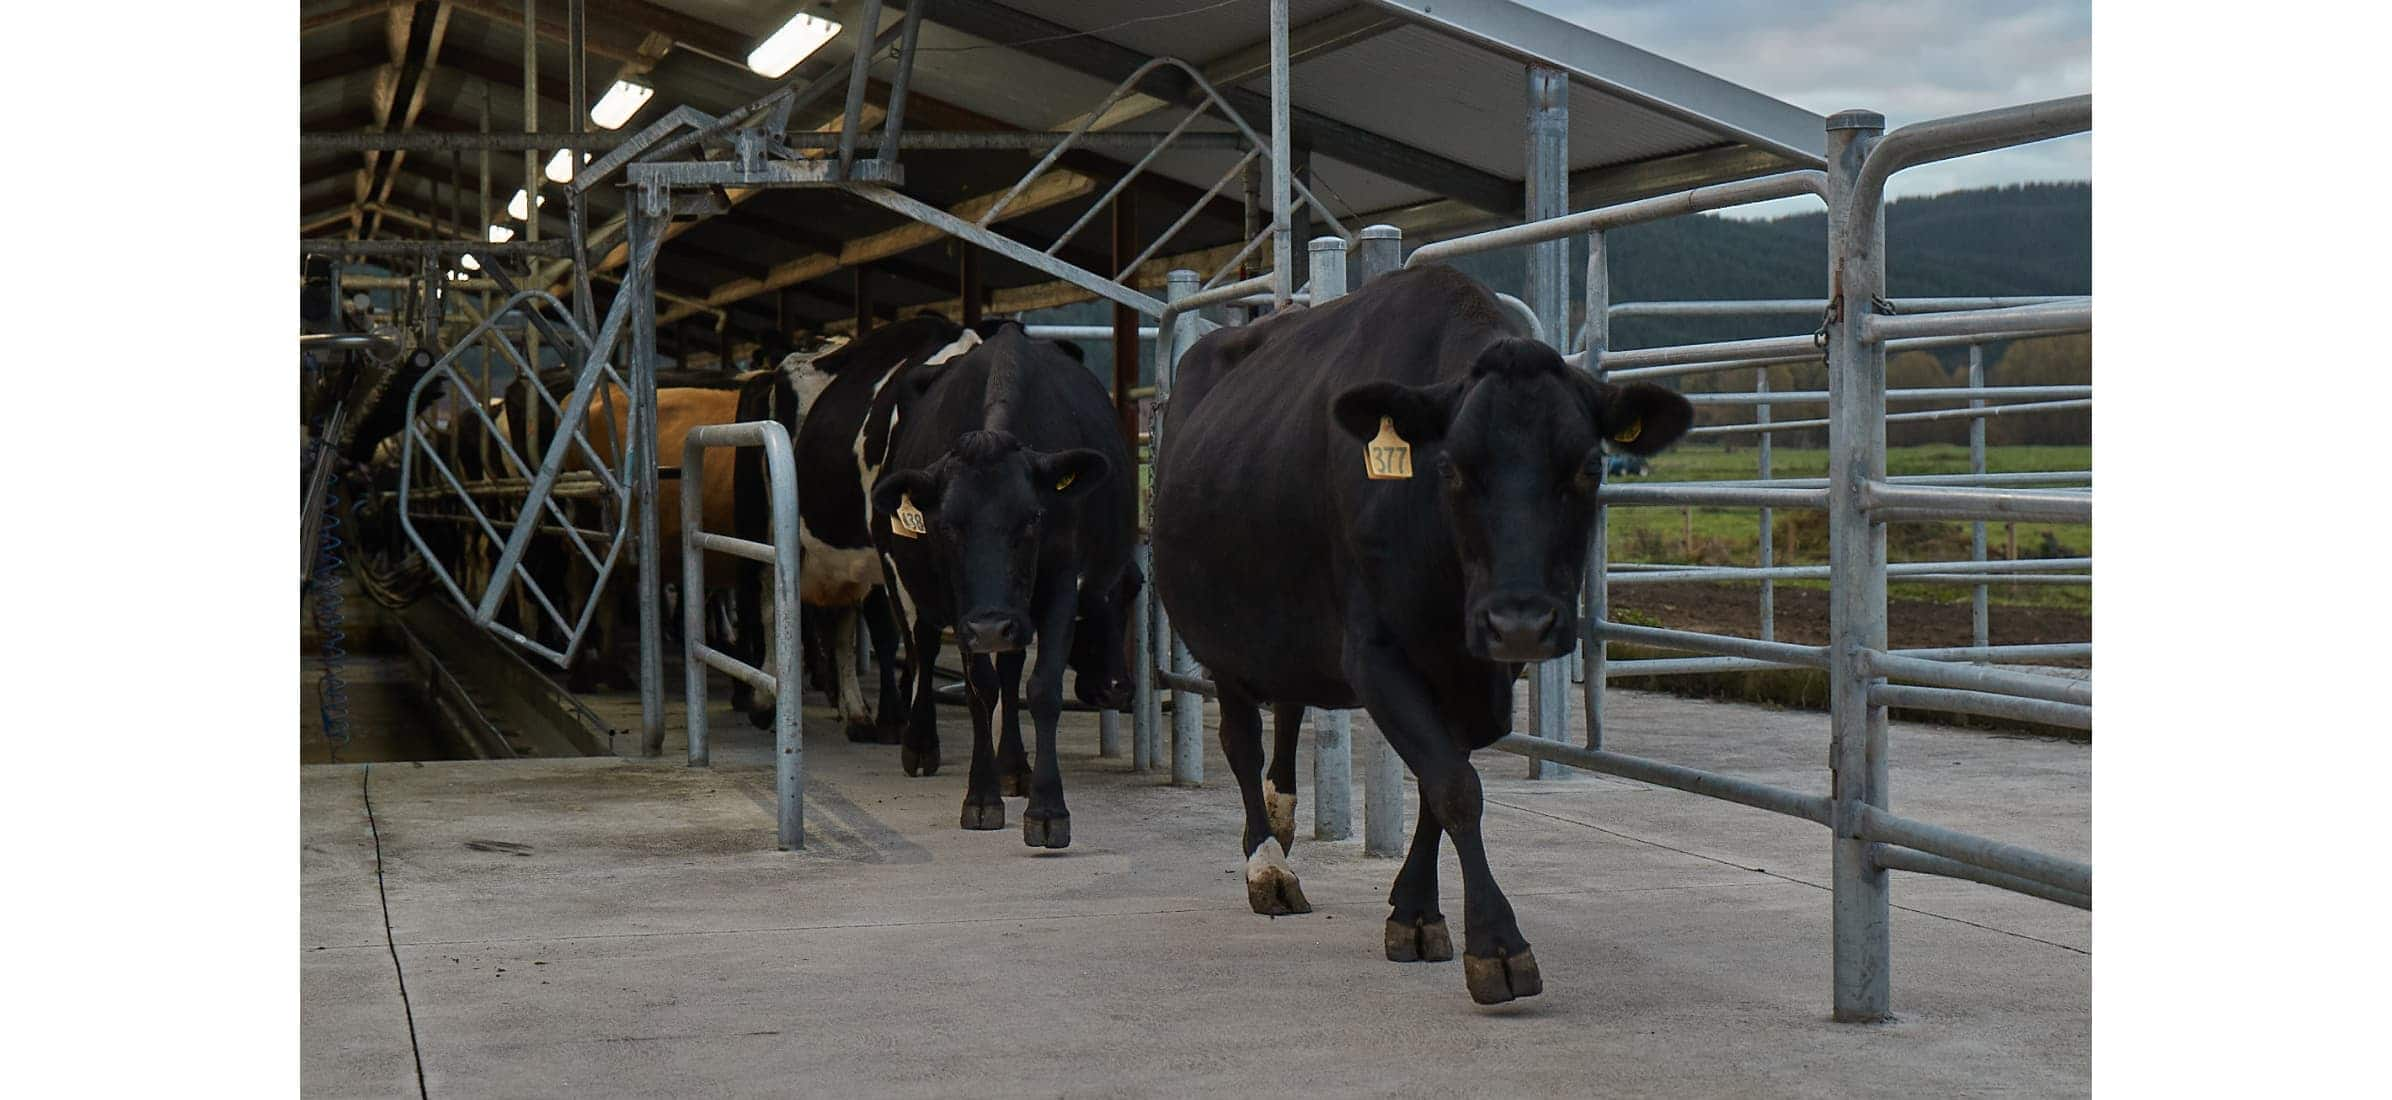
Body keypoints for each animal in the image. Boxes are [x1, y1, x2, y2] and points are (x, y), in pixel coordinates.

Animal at [875, 320, 1133, 851]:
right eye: (945, 525)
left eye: (1034, 517)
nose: (992, 627)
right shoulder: (961, 608)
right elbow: (981, 690)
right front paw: (981, 799)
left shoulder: (1060, 584)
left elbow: (1042, 688)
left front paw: (1048, 810)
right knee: (924, 647)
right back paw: (921, 744)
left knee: (1013, 670)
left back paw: (1014, 767)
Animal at [1148, 266, 1693, 1004]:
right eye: (1451, 466)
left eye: (1589, 466)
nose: (1520, 622)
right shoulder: (1376, 654)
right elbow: (1455, 785)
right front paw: (1497, 945)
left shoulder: (1477, 672)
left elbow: (1442, 782)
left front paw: (1414, 912)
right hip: (1218, 637)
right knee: (1240, 739)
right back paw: (1267, 866)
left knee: (1287, 709)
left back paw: (1282, 814)